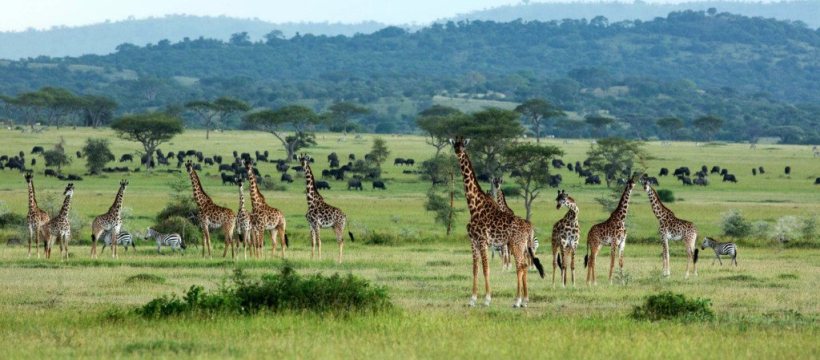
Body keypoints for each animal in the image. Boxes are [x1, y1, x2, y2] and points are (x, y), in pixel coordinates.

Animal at [448, 136, 544, 308]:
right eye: (454, 145)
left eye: (463, 145)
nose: (458, 152)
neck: (474, 206)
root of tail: (530, 227)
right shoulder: (473, 241)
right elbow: (475, 268)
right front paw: (472, 299)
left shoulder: (483, 241)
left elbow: (486, 268)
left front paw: (487, 299)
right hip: (522, 245)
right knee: (524, 266)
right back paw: (524, 300)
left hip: (517, 244)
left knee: (521, 266)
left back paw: (518, 300)